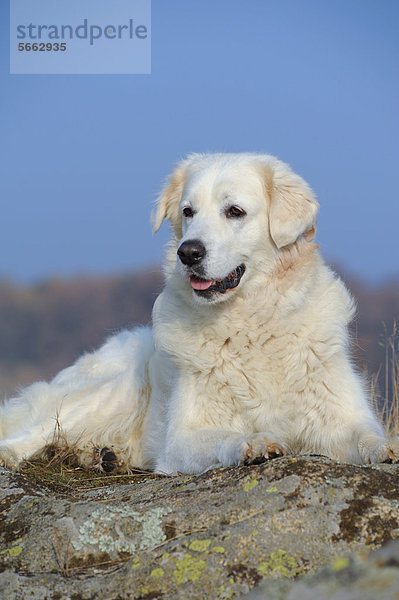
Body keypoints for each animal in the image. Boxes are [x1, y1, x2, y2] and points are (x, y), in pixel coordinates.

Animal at [0, 154, 399, 474]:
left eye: (234, 211)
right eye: (188, 212)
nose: (188, 252)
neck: (252, 324)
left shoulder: (340, 416)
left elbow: (366, 437)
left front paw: (388, 447)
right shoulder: (183, 439)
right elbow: (226, 436)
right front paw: (255, 442)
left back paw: (100, 456)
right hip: (109, 393)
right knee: (33, 431)